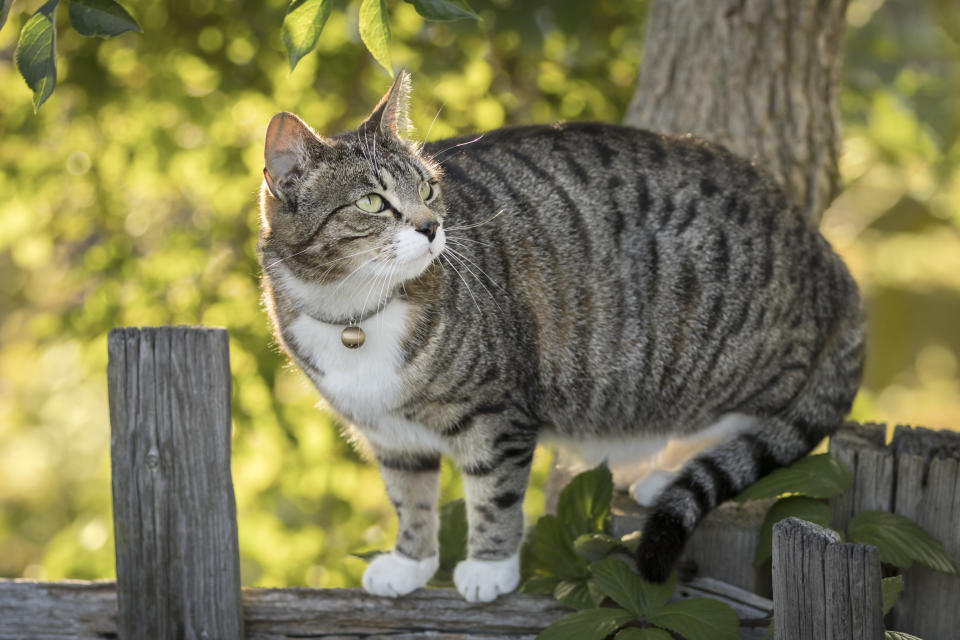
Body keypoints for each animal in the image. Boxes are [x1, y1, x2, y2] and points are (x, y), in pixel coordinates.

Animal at [258, 72, 868, 604]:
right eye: (371, 202)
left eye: (429, 189)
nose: (432, 228)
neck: (355, 310)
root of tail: (828, 254)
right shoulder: (390, 435)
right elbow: (410, 499)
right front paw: (411, 562)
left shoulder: (496, 411)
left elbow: (495, 493)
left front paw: (489, 568)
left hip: (728, 360)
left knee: (754, 417)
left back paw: (664, 473)